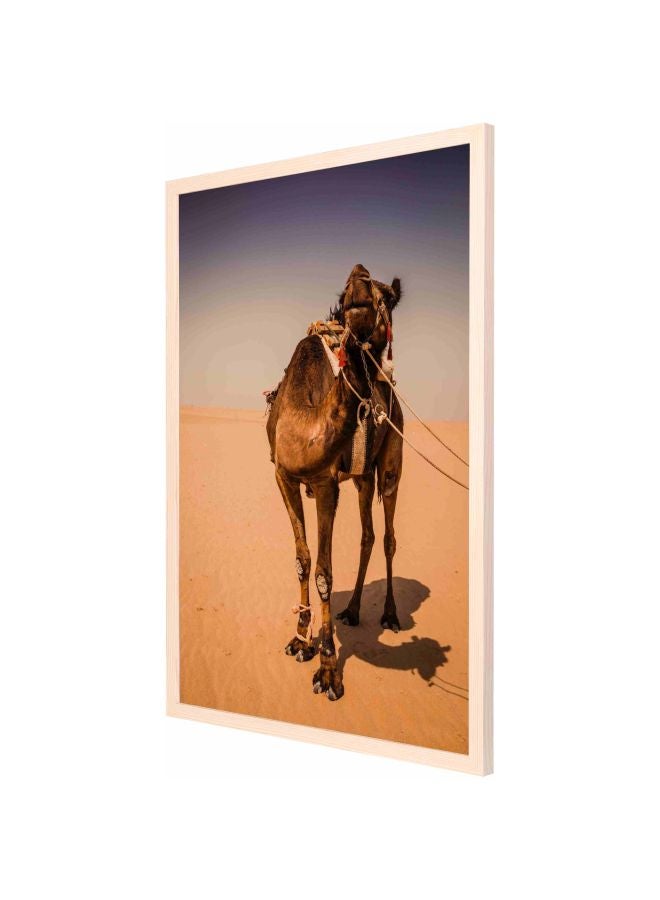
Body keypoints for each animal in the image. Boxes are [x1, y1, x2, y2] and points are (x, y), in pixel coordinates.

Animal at [266, 264, 404, 700]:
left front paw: (327, 668)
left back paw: (389, 614)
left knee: (388, 535)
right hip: (360, 478)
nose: (359, 277)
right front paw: (300, 639)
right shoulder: (284, 477)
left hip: (392, 458)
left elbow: (325, 572)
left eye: (389, 297)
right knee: (367, 534)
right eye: (346, 294)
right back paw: (354, 610)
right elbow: (303, 560)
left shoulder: (327, 484)